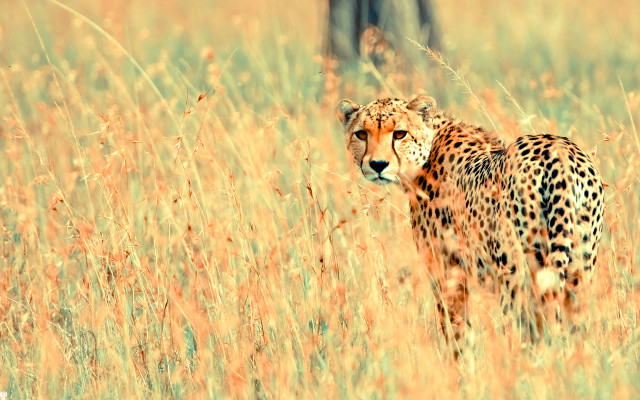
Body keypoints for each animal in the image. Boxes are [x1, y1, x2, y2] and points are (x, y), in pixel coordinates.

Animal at [336, 95, 604, 354]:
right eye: (362, 134)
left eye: (399, 133)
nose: (377, 165)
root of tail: (560, 153)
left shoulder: (447, 271)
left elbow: (456, 331)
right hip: (580, 266)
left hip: (516, 271)